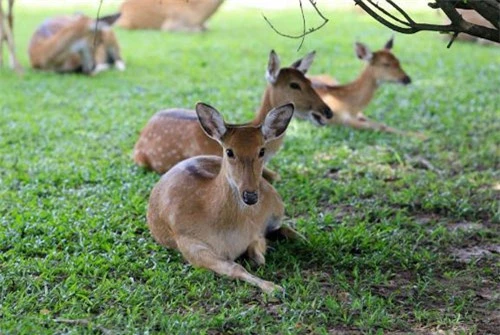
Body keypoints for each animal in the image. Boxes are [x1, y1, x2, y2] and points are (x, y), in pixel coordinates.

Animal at [146, 102, 298, 294]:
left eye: (262, 151)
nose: (250, 195)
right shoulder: (187, 241)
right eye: (229, 151)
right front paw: (274, 287)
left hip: (277, 203)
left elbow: (257, 249)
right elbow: (235, 268)